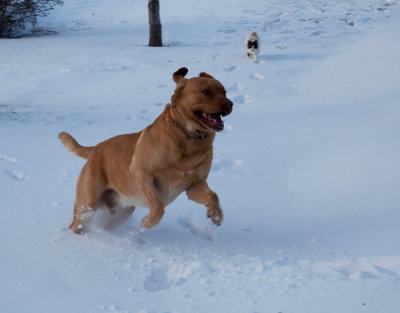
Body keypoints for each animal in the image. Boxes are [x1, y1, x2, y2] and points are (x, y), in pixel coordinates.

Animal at [59, 68, 234, 234]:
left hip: (123, 208)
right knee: (75, 224)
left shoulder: (194, 185)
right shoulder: (142, 173)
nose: (230, 103)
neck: (188, 137)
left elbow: (213, 195)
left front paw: (216, 214)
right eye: (206, 92)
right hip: (88, 203)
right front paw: (147, 222)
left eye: (224, 92)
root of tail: (94, 149)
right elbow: (158, 206)